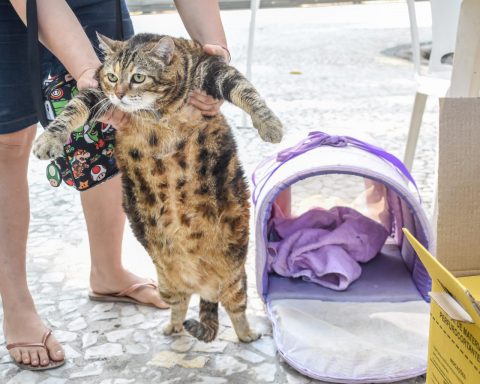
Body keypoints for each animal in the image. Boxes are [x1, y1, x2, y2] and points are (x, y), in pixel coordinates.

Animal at [34, 33, 282, 344]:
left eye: (138, 77)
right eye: (112, 77)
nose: (120, 94)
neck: (158, 108)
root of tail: (203, 285)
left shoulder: (211, 68)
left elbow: (246, 90)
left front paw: (269, 123)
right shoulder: (97, 95)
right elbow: (71, 110)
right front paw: (48, 139)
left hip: (236, 279)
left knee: (236, 311)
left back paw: (248, 334)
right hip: (167, 283)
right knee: (181, 304)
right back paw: (173, 327)